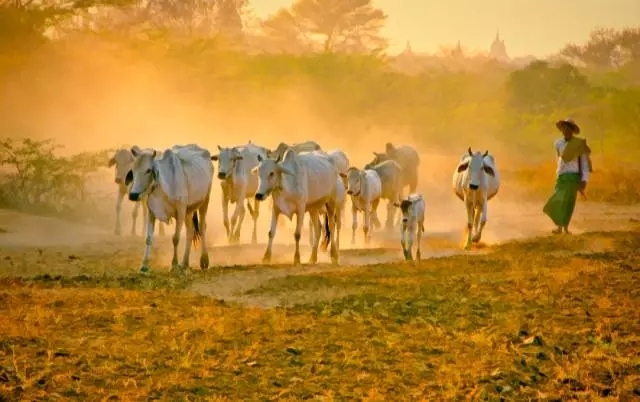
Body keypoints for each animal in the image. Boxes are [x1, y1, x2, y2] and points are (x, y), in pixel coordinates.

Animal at [127, 144, 215, 274]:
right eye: (133, 170)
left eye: (148, 170)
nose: (133, 195)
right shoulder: (152, 212)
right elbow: (148, 238)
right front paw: (144, 266)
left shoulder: (180, 211)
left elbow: (175, 238)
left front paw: (174, 265)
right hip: (189, 211)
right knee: (190, 232)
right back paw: (184, 263)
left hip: (204, 202)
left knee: (202, 227)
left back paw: (204, 260)